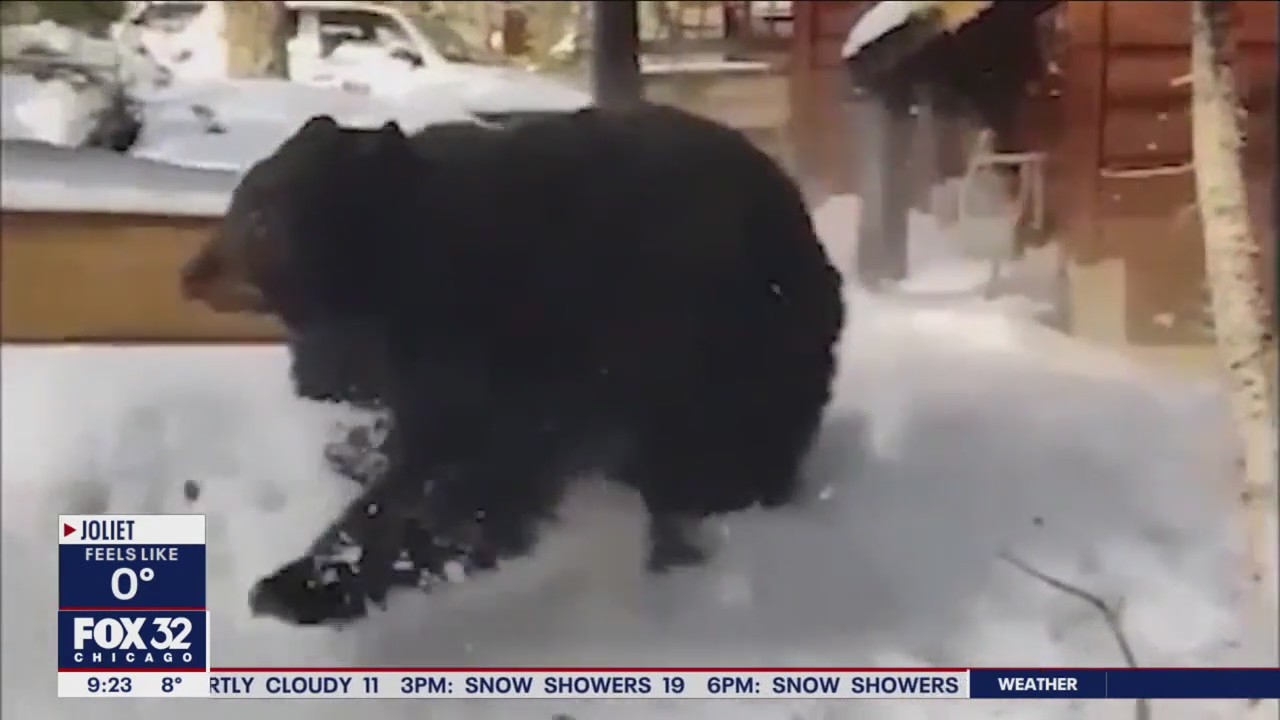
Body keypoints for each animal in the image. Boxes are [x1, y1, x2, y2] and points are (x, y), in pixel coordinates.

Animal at [180, 105, 845, 628]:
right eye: (240, 201)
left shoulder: (517, 343)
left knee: (715, 462)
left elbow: (461, 477)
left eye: (259, 216)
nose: (191, 272)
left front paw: (306, 581)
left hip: (732, 364)